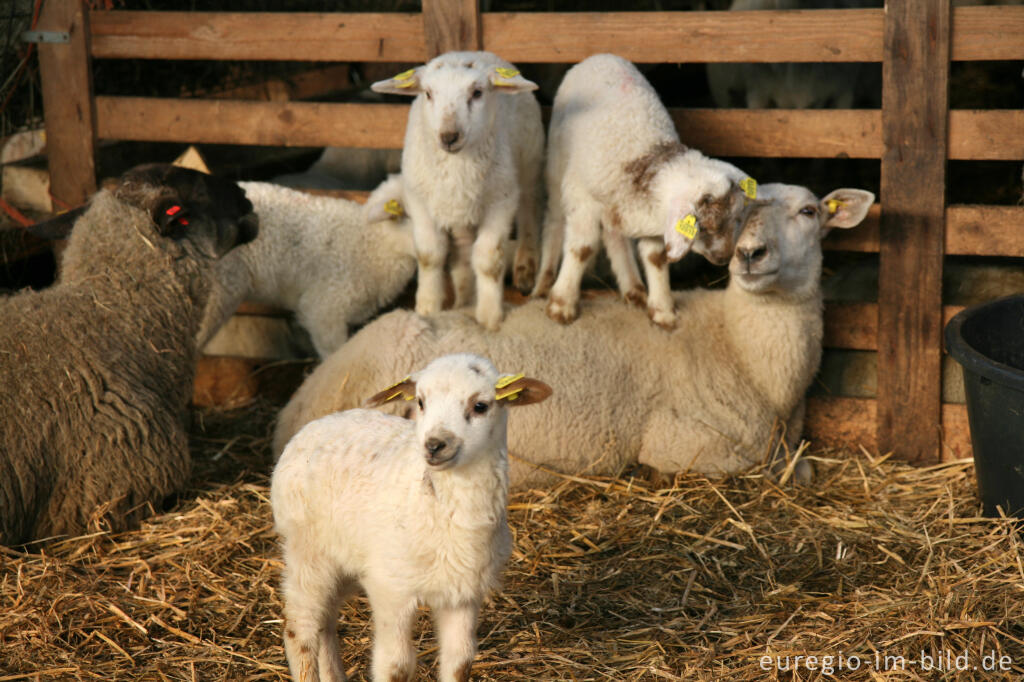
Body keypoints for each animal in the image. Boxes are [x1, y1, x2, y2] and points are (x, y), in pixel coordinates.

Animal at [268, 352, 548, 679]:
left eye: (480, 405)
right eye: (421, 402)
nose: (435, 444)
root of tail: (311, 427)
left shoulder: (463, 594)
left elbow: (460, 660)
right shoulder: (391, 589)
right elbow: (395, 665)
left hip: (345, 560)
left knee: (325, 621)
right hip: (307, 550)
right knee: (300, 627)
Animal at [276, 183, 876, 485]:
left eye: (808, 211)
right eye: (735, 215)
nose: (751, 255)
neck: (738, 347)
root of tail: (294, 404)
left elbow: (801, 466)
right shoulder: (680, 443)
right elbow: (779, 471)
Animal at [368, 50, 544, 329]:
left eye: (477, 92)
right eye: (428, 93)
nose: (449, 137)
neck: (457, 166)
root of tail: (475, 52)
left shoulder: (501, 201)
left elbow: (489, 259)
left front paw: (489, 318)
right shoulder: (419, 201)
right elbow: (430, 255)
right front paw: (428, 309)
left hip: (529, 161)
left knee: (529, 210)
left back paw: (525, 268)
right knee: (462, 254)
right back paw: (464, 299)